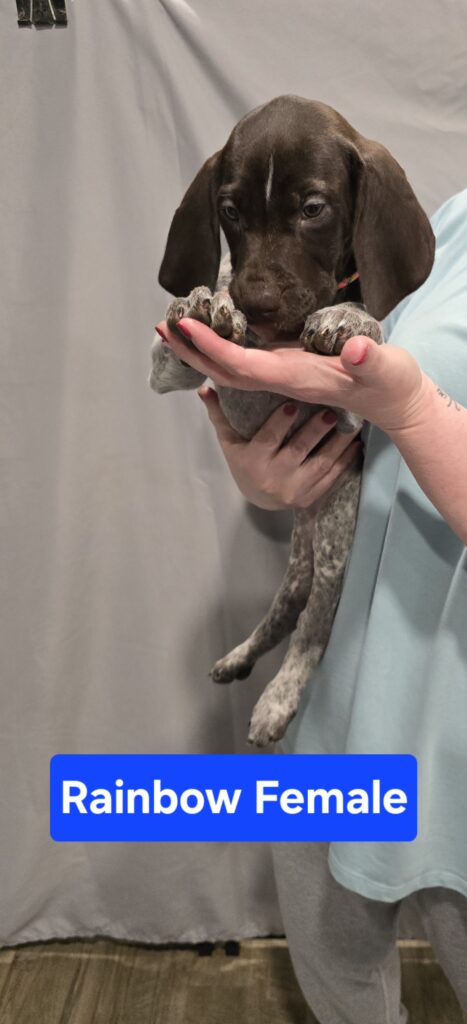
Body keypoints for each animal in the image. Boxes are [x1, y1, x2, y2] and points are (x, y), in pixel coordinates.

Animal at [149, 95, 435, 747]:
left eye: (312, 209)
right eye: (229, 211)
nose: (257, 303)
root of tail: (306, 520)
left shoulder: (352, 413)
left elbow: (361, 318)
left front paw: (346, 316)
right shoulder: (174, 373)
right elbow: (184, 326)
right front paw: (204, 300)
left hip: (333, 541)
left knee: (313, 629)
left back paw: (277, 700)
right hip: (301, 560)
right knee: (284, 613)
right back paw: (241, 657)